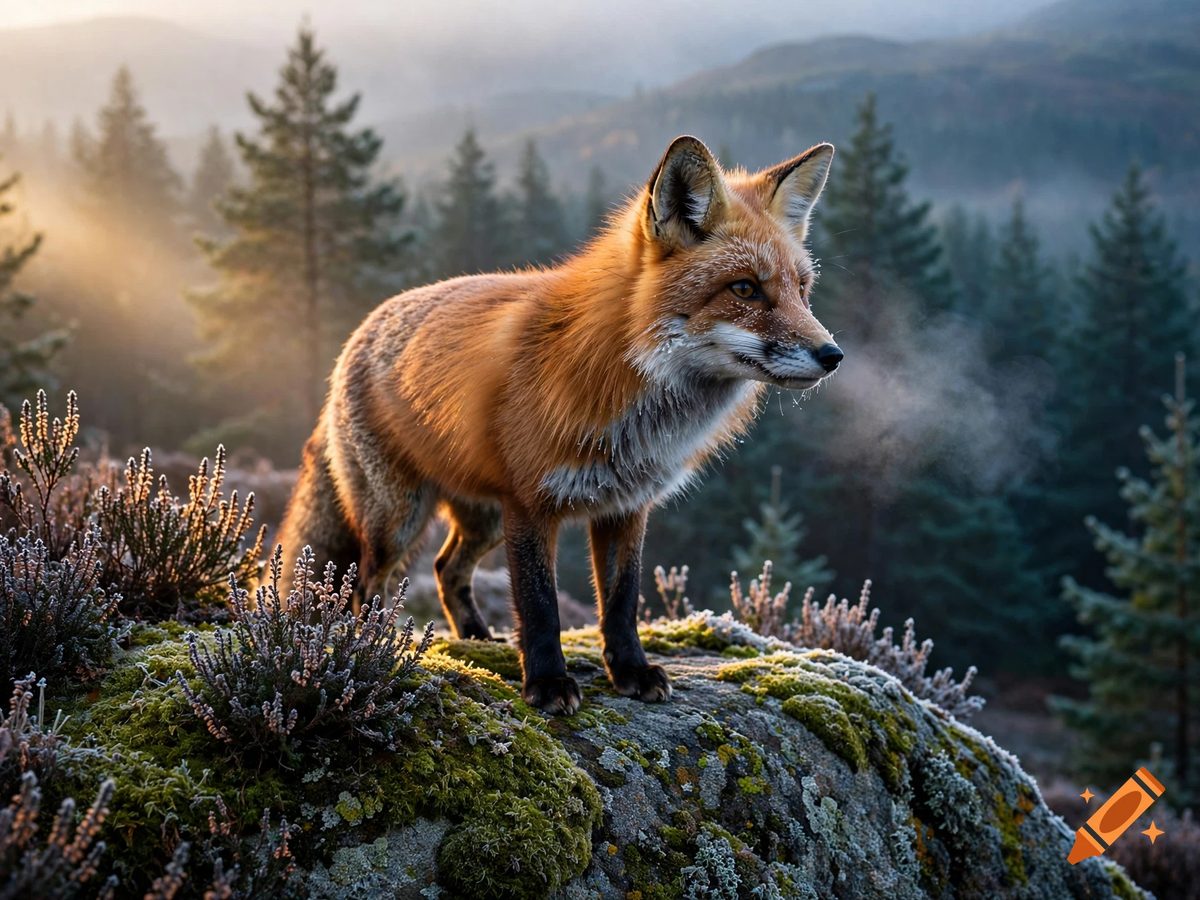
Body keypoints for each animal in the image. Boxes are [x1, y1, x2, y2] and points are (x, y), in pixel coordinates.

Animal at [276, 135, 842, 714]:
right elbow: (540, 605)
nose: (832, 355)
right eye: (745, 289)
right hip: (399, 518)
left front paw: (630, 671)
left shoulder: (627, 506)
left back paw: (478, 640)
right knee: (367, 584)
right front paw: (547, 683)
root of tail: (357, 334)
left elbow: (621, 602)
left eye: (802, 289)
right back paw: (375, 645)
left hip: (483, 518)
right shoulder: (530, 503)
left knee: (445, 568)